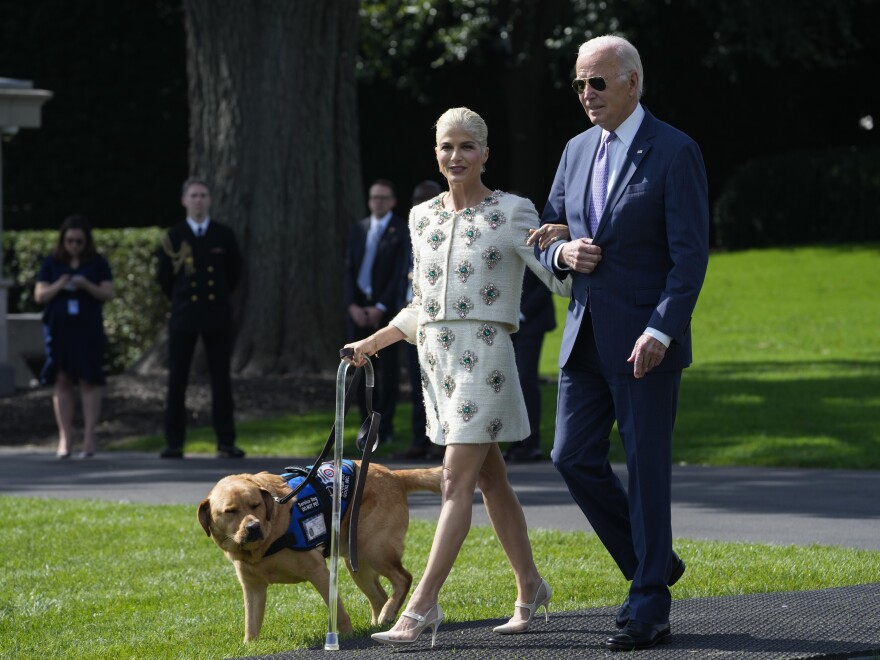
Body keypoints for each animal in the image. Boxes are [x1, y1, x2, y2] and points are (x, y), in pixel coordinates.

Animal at [195, 462, 436, 640]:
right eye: (230, 511)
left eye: (256, 505)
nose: (253, 527)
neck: (263, 549)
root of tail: (394, 474)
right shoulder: (252, 588)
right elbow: (251, 626)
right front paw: (250, 646)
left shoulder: (319, 571)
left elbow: (338, 612)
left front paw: (345, 637)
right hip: (357, 562)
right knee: (380, 596)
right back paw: (381, 621)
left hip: (374, 548)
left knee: (404, 578)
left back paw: (388, 613)